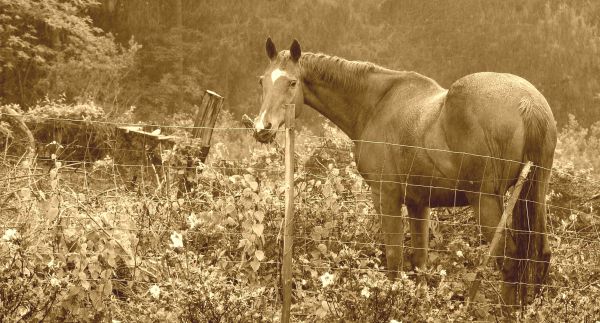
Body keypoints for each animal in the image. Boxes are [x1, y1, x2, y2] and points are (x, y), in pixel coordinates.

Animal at [251, 36, 556, 308]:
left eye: (292, 82)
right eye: (262, 81)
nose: (262, 128)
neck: (376, 105)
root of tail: (527, 103)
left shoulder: (386, 197)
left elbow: (394, 258)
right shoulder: (418, 203)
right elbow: (420, 262)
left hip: (486, 201)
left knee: (511, 260)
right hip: (534, 193)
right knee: (540, 255)